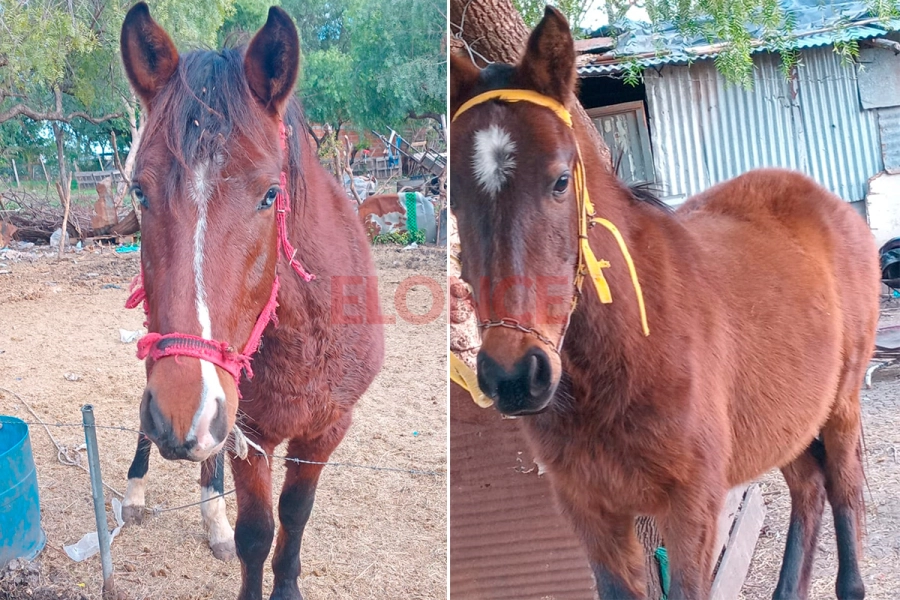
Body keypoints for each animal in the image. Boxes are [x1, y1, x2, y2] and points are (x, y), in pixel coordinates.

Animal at [119, 4, 384, 599]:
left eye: (270, 194)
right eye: (139, 191)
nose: (181, 410)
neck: (306, 338)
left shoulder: (324, 431)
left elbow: (294, 516)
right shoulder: (252, 434)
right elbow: (257, 533)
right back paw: (137, 493)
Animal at [449, 8, 878, 599]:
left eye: (560, 180)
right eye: (453, 197)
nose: (514, 375)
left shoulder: (691, 507)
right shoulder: (593, 514)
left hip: (840, 406)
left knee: (845, 490)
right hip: (787, 420)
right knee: (810, 487)